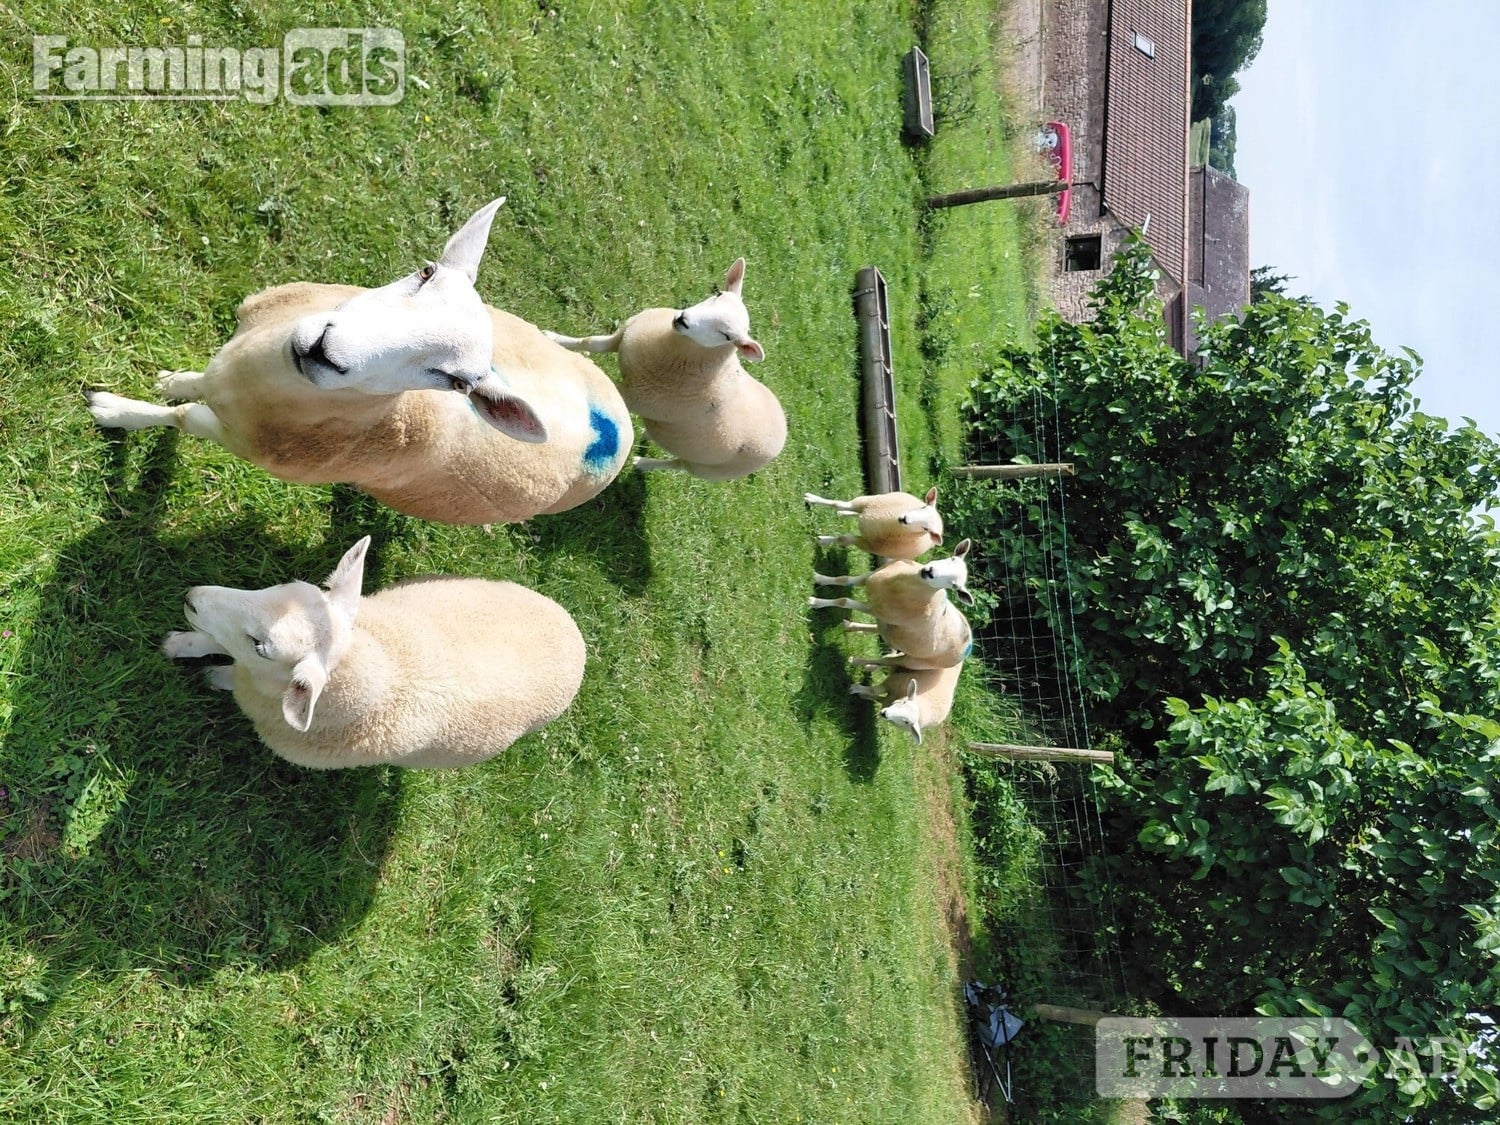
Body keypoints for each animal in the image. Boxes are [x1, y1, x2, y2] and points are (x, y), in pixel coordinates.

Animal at [85, 198, 634, 524]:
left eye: (458, 383)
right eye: (426, 271)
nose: (326, 350)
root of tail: (618, 430)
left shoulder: (235, 438)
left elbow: (180, 417)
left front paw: (114, 410)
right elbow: (191, 385)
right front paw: (172, 380)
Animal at [161, 537, 585, 769]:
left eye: (261, 646)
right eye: (279, 587)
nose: (193, 598)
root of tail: (575, 633)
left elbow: (228, 670)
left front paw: (209, 675)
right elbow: (213, 640)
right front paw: (179, 643)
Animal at [544, 257, 786, 480]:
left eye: (727, 336)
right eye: (717, 294)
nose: (683, 319)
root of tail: (784, 424)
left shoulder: (634, 396)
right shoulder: (625, 334)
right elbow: (590, 342)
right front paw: (554, 339)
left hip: (708, 469)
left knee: (678, 465)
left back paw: (643, 463)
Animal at [803, 486, 944, 560]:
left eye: (926, 529)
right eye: (923, 507)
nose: (904, 519)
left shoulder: (867, 545)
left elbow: (843, 539)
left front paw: (822, 541)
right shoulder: (863, 503)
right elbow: (836, 503)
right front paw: (811, 498)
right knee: (852, 512)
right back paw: (843, 513)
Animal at [809, 539, 974, 670]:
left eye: (954, 586)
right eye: (951, 558)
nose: (930, 572)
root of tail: (969, 644)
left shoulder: (875, 609)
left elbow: (844, 601)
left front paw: (814, 602)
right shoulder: (869, 577)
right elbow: (843, 579)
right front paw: (818, 578)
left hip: (913, 661)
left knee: (886, 661)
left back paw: (856, 660)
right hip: (892, 629)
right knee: (880, 629)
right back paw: (850, 626)